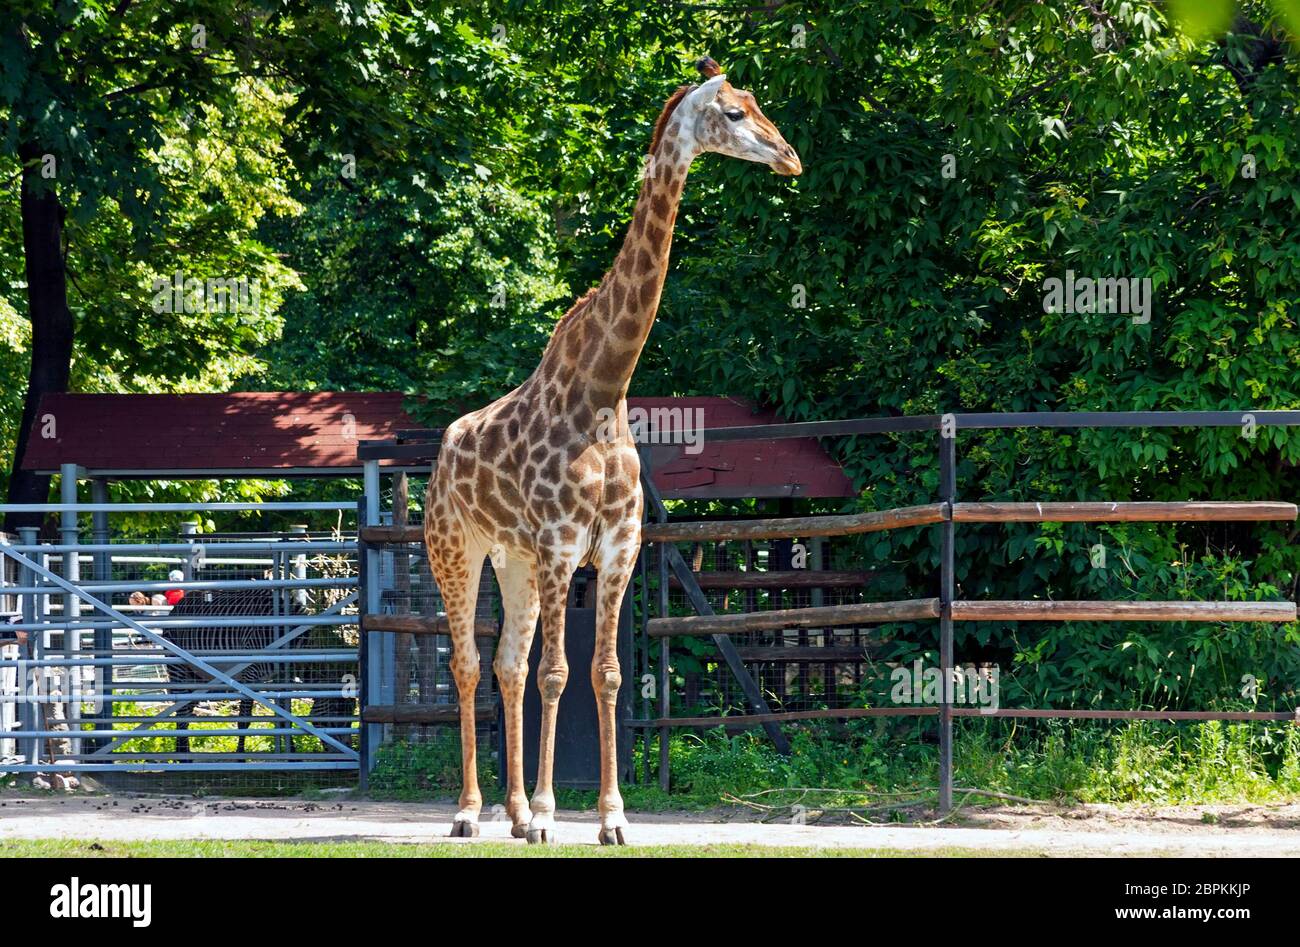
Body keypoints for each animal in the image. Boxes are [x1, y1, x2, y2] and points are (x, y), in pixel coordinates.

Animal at [426, 59, 795, 842]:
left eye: (756, 104)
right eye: (734, 112)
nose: (789, 157)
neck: (603, 386)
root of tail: (440, 454)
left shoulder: (619, 547)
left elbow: (606, 675)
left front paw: (611, 817)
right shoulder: (563, 545)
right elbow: (558, 674)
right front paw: (547, 814)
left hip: (513, 559)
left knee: (505, 663)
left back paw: (506, 811)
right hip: (456, 546)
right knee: (469, 663)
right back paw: (471, 811)